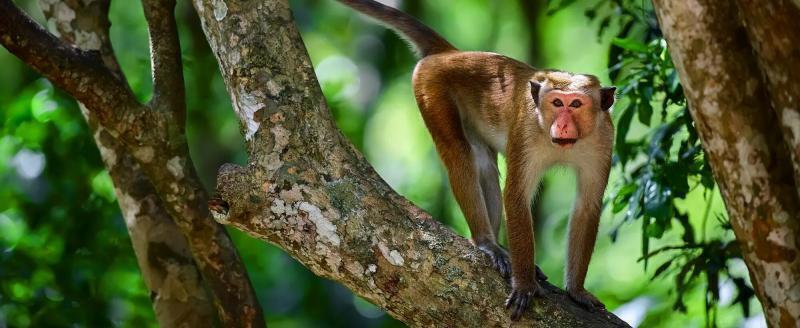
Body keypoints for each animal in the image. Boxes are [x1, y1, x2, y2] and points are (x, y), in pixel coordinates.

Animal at [334, 0, 616, 320]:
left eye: (576, 104)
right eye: (557, 103)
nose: (562, 124)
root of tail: (450, 54)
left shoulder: (603, 139)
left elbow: (587, 206)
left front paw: (576, 290)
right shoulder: (527, 130)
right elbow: (516, 197)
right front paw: (524, 284)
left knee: (484, 164)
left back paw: (497, 244)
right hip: (431, 88)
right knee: (460, 154)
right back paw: (486, 243)